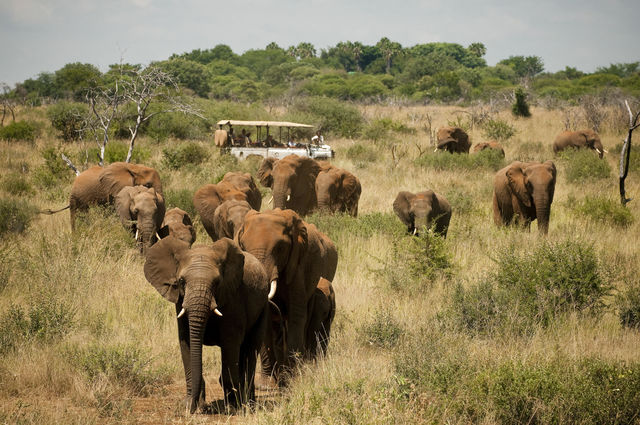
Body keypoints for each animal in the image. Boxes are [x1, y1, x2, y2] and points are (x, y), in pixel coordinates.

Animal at [144, 235, 272, 410]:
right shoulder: (180, 301)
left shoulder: (234, 299)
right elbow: (186, 342)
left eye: (217, 282)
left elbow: (230, 344)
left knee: (251, 348)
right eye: (181, 281)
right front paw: (190, 404)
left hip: (263, 306)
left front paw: (232, 407)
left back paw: (248, 402)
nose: (195, 407)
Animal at [236, 208, 340, 378]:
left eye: (280, 248)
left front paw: (294, 376)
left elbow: (295, 314)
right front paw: (269, 381)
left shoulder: (298, 266)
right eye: (243, 246)